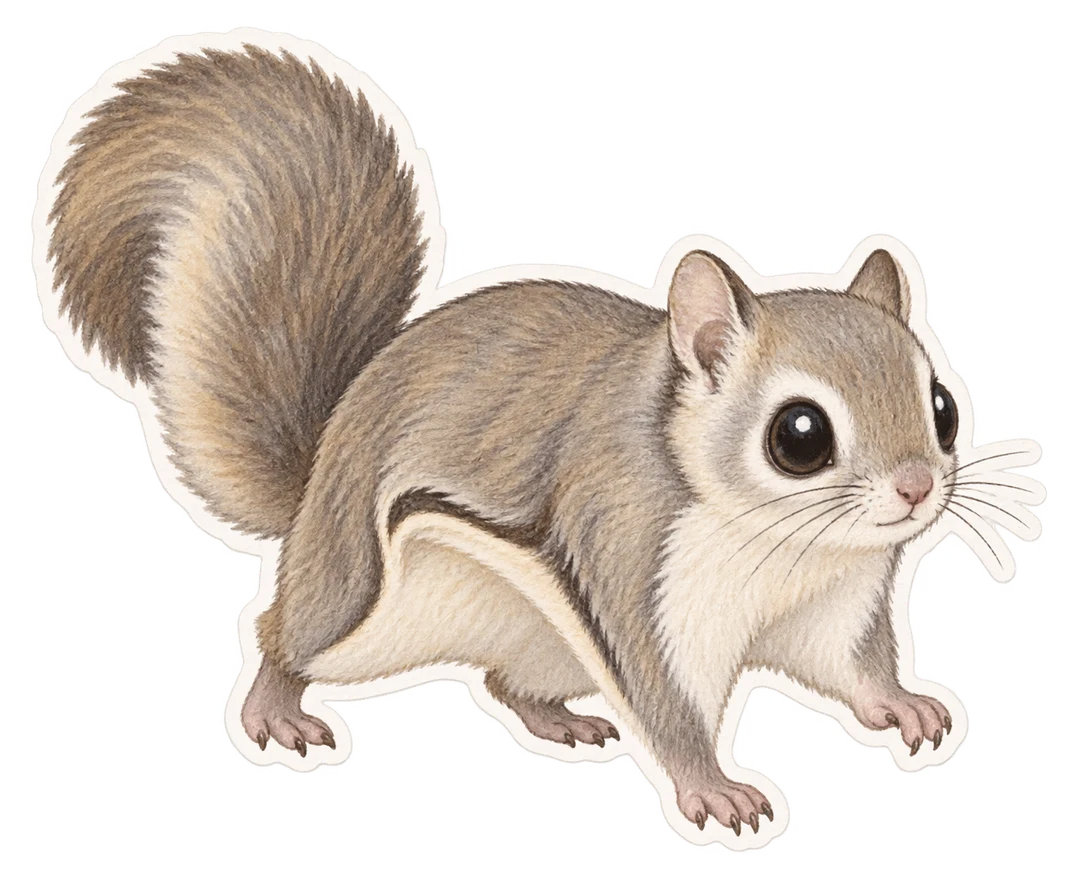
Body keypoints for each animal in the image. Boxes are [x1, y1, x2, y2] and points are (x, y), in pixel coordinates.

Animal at [48, 44, 974, 837]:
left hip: (537, 642)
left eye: (942, 406)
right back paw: (275, 707)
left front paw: (904, 703)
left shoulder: (837, 599)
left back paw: (555, 718)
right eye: (800, 434)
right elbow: (665, 697)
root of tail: (319, 475)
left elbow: (852, 665)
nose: (916, 487)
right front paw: (713, 788)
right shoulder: (629, 551)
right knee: (283, 635)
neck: (787, 549)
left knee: (502, 677)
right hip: (357, 595)